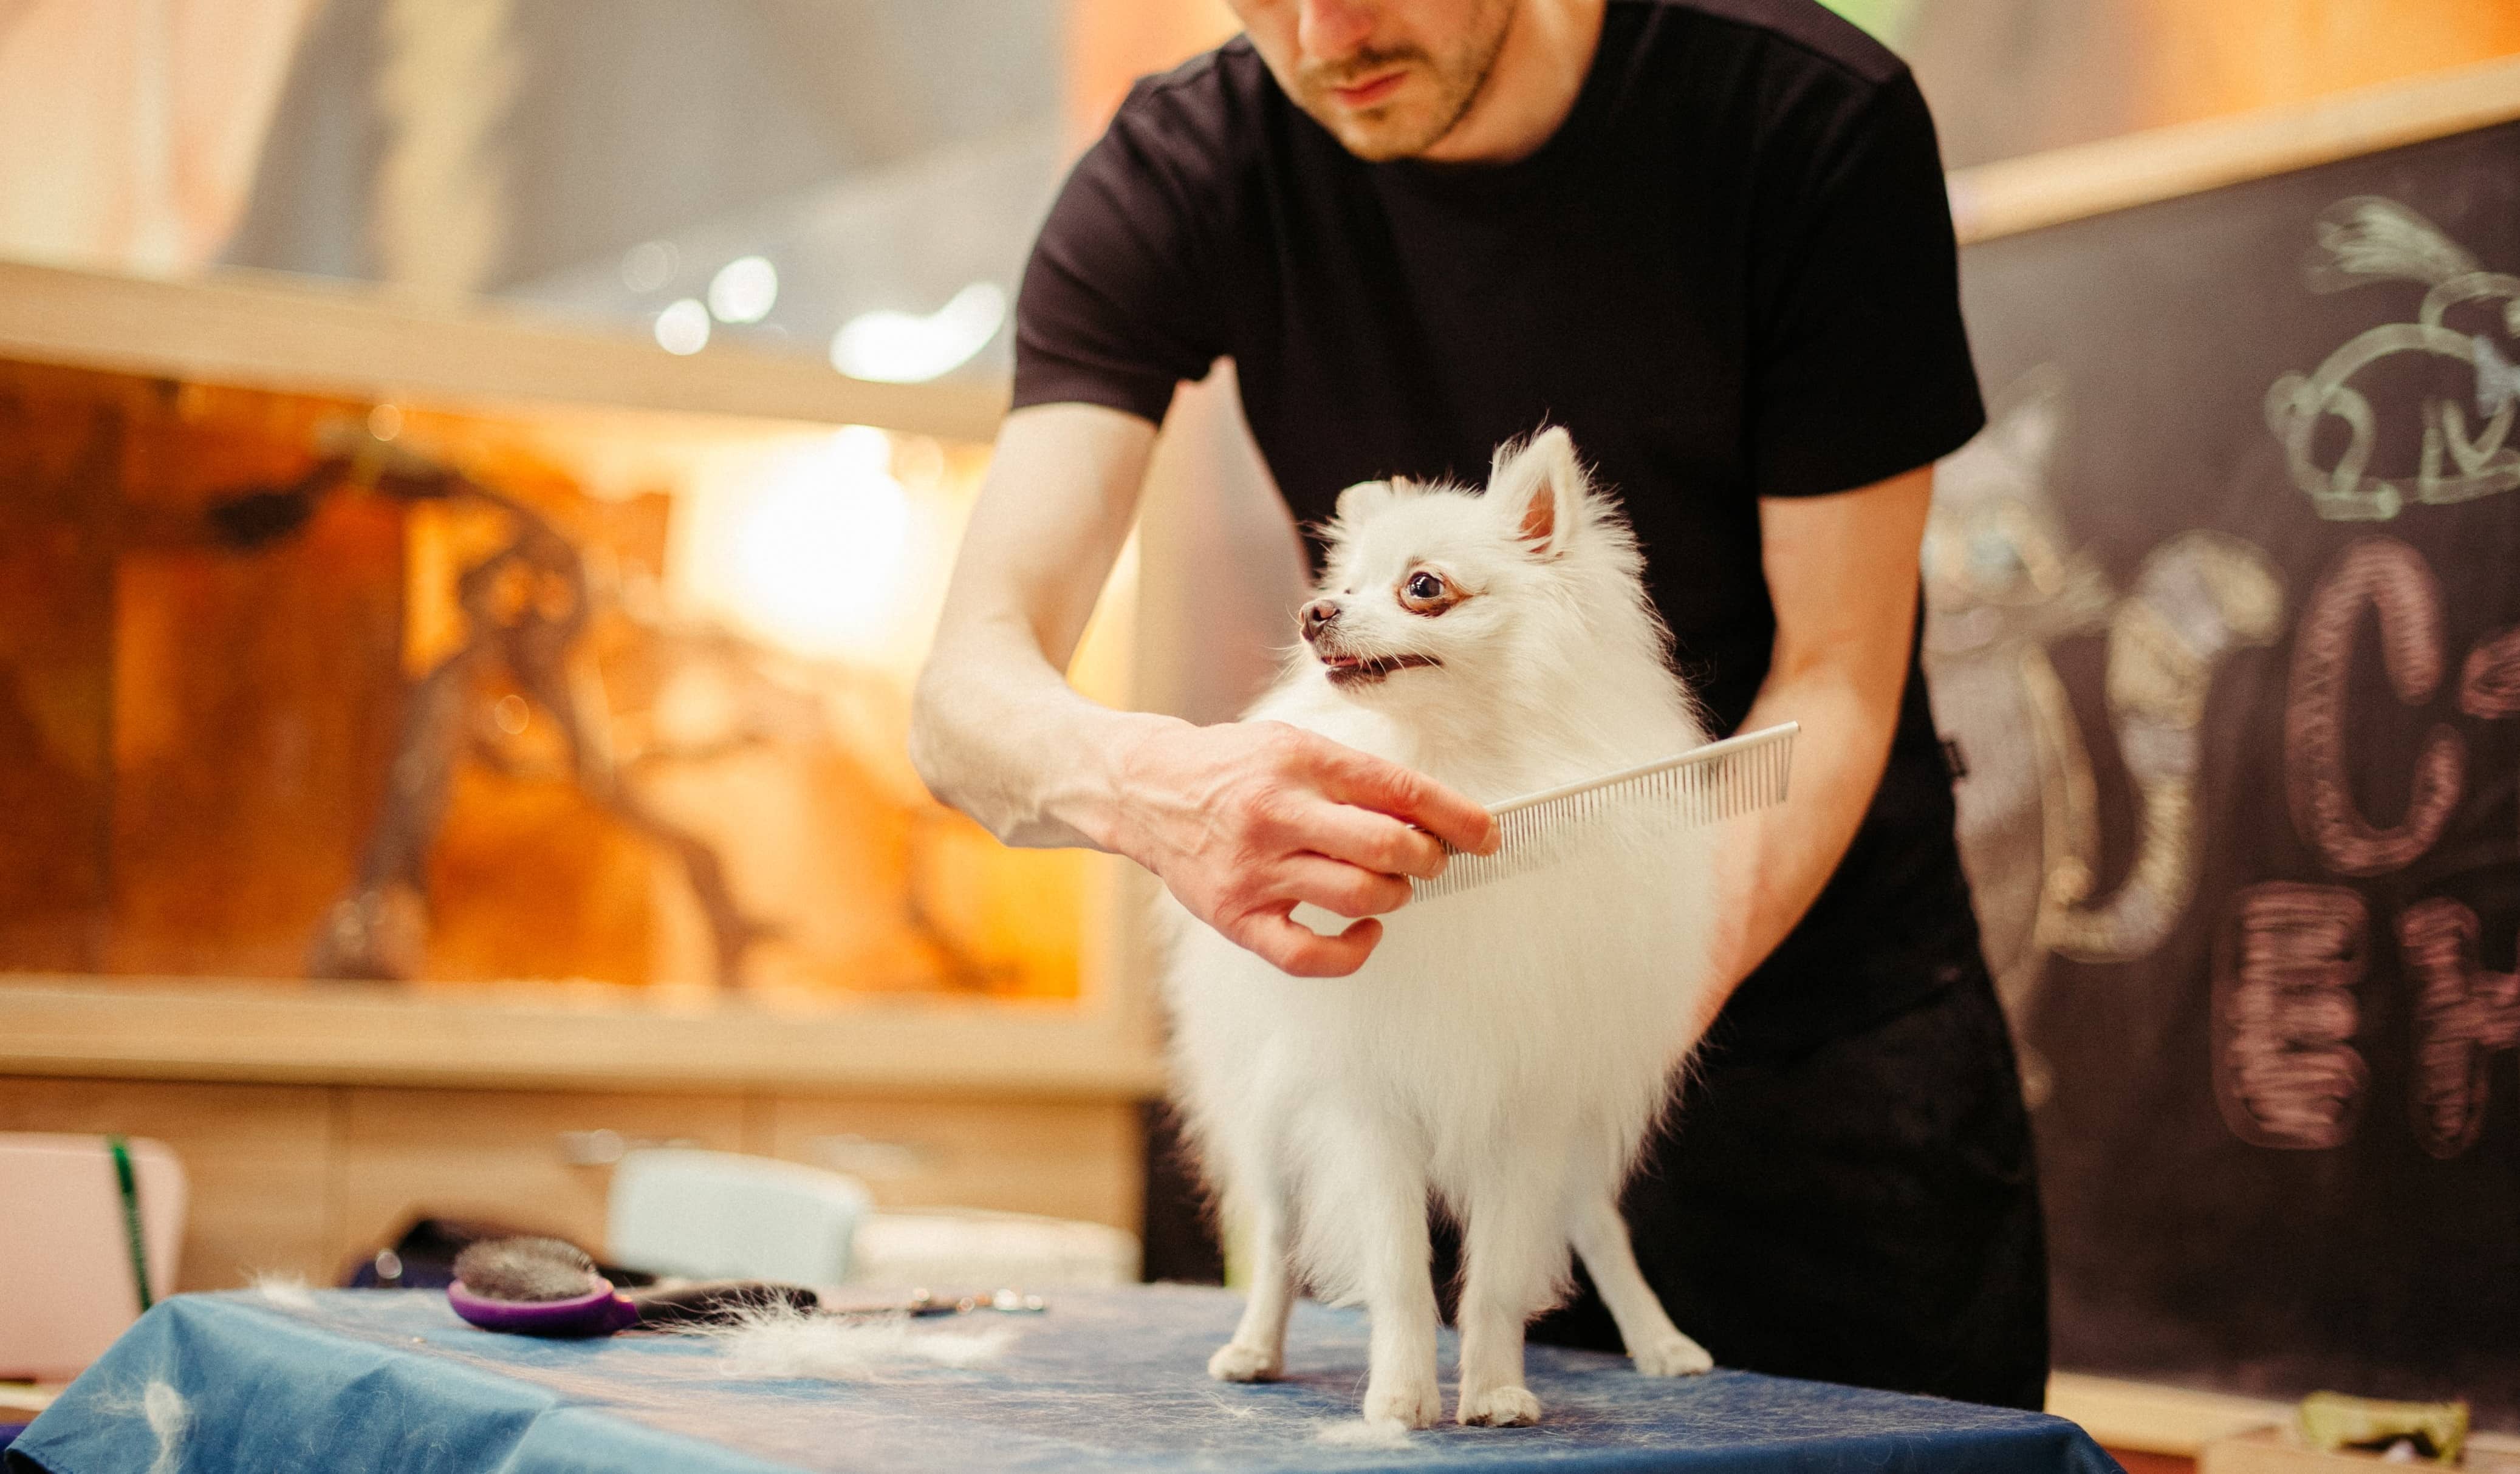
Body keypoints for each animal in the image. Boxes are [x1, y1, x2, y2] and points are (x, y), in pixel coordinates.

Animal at [1164, 426, 1733, 1421]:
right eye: (1345, 586)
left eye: (1422, 586)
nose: (1314, 611)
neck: (1455, 767)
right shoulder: (1363, 1100)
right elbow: (1399, 1269)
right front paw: (1400, 1397)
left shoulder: (1533, 1102)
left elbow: (1499, 1276)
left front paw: (1496, 1388)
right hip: (1268, 1112)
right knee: (1274, 1239)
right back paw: (1253, 1347)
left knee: (1597, 1227)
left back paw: (1658, 1341)